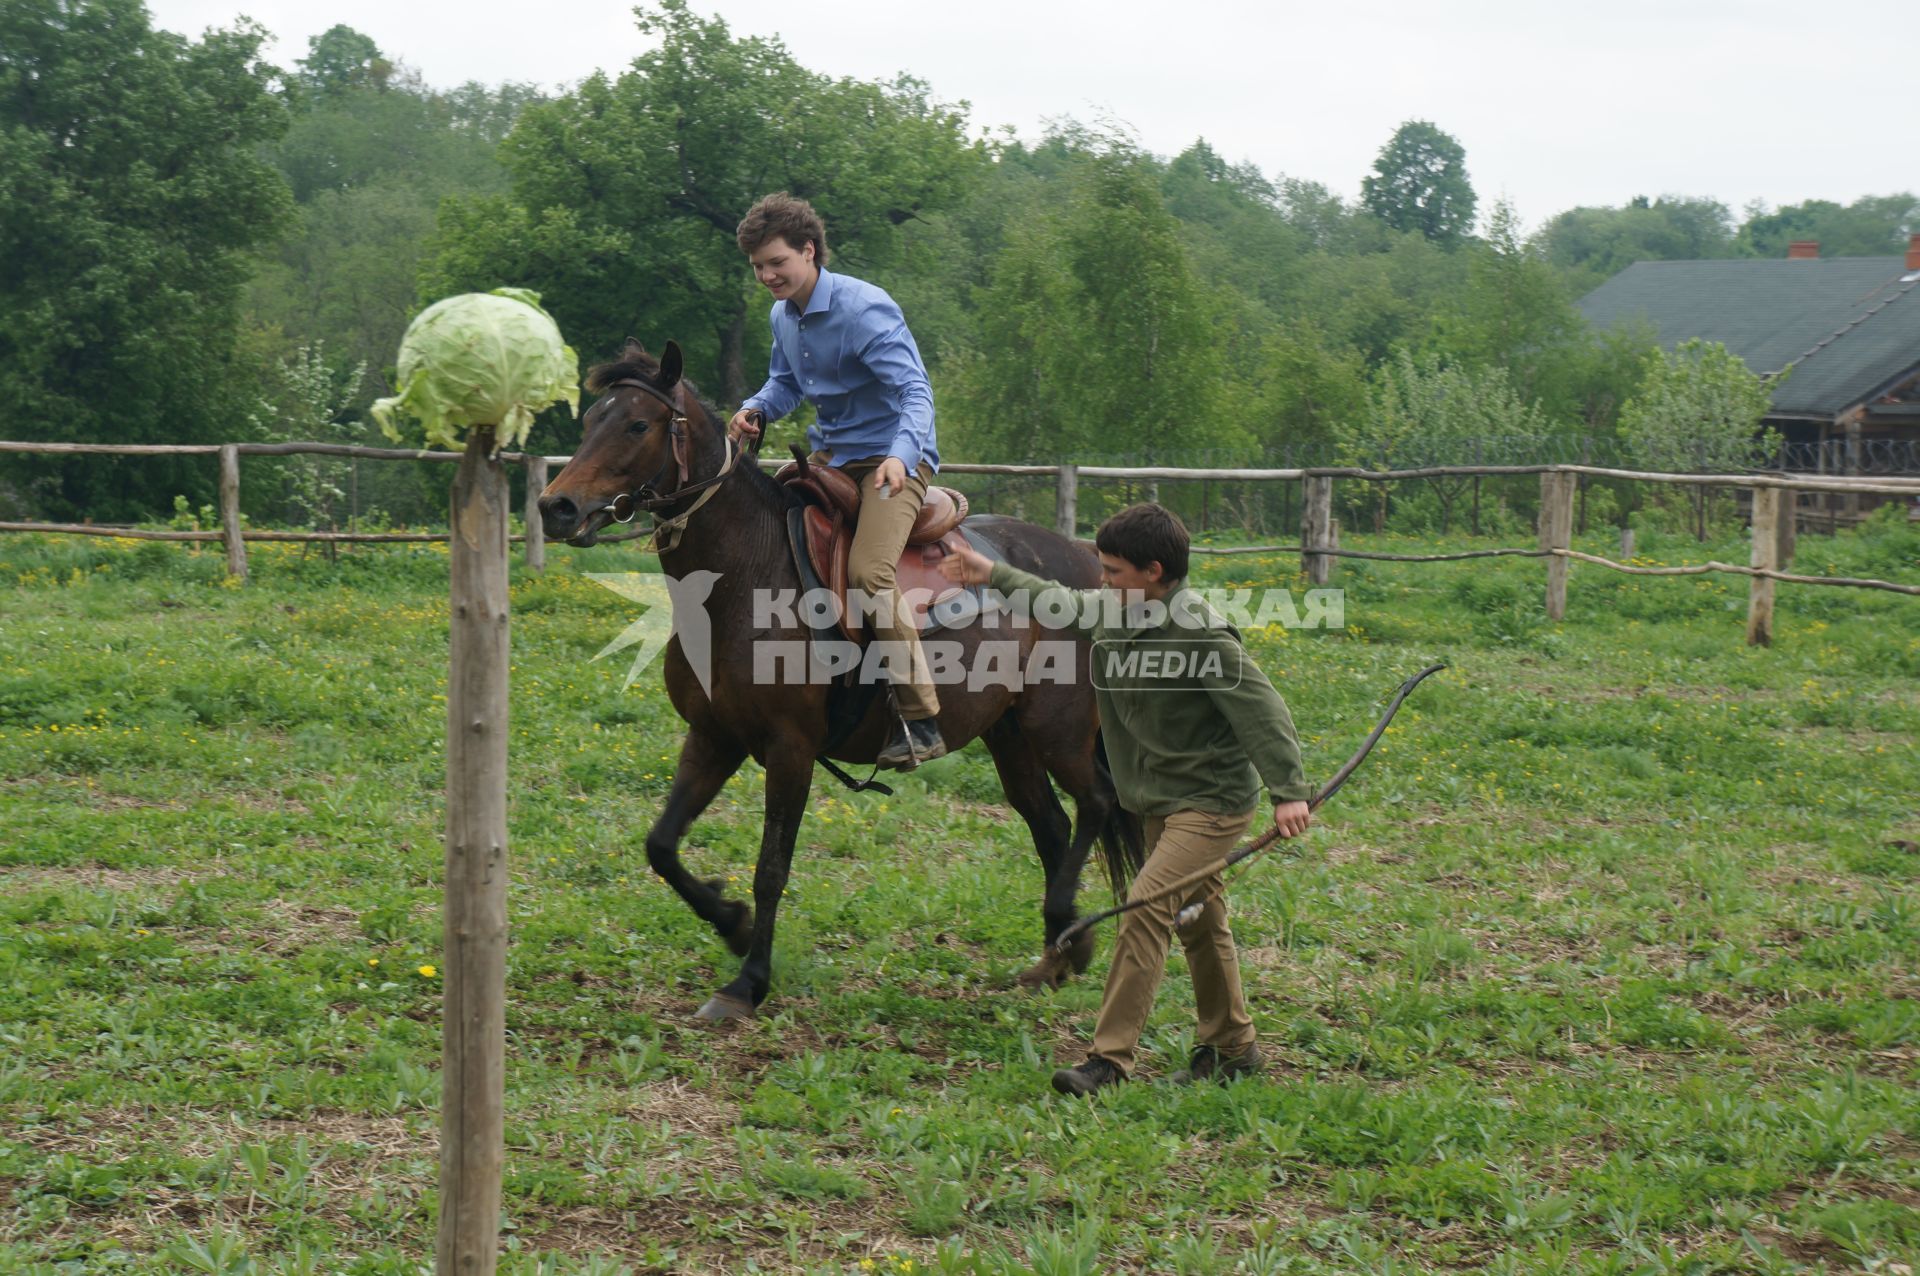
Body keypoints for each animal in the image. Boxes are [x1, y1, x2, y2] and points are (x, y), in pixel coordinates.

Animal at [541, 343, 1136, 1020]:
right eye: (592, 419)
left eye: (638, 424)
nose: (556, 507)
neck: (744, 576)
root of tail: (1088, 563)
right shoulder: (713, 737)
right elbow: (661, 845)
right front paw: (732, 925)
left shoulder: (790, 749)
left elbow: (771, 868)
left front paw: (748, 981)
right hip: (1008, 734)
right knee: (1050, 825)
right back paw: (1059, 954)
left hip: (1058, 728)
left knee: (1095, 803)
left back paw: (1066, 929)